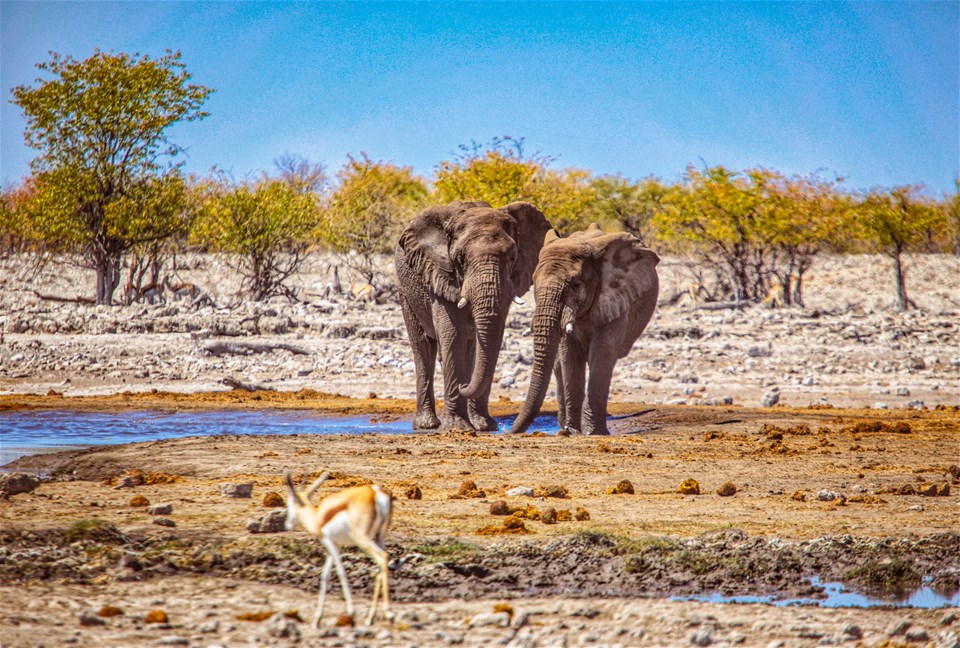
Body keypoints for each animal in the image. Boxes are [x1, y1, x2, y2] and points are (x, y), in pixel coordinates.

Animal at [284, 468, 392, 624]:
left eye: (289, 503)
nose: (287, 524)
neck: (318, 517)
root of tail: (376, 493)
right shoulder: (335, 545)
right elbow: (325, 575)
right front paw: (317, 618)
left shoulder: (328, 541)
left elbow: (341, 571)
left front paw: (350, 611)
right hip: (379, 537)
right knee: (381, 563)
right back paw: (370, 617)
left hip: (362, 538)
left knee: (382, 557)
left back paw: (388, 613)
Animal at [394, 197, 552, 430]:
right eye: (460, 259)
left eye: (512, 257)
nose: (462, 386)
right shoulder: (440, 274)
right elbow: (453, 336)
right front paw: (458, 428)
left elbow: (486, 341)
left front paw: (485, 426)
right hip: (405, 291)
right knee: (423, 347)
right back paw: (427, 425)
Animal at [510, 224, 660, 436]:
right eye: (533, 282)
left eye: (576, 285)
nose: (509, 431)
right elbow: (569, 356)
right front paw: (571, 431)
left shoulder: (615, 299)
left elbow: (602, 354)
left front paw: (592, 432)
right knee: (559, 365)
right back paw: (563, 424)